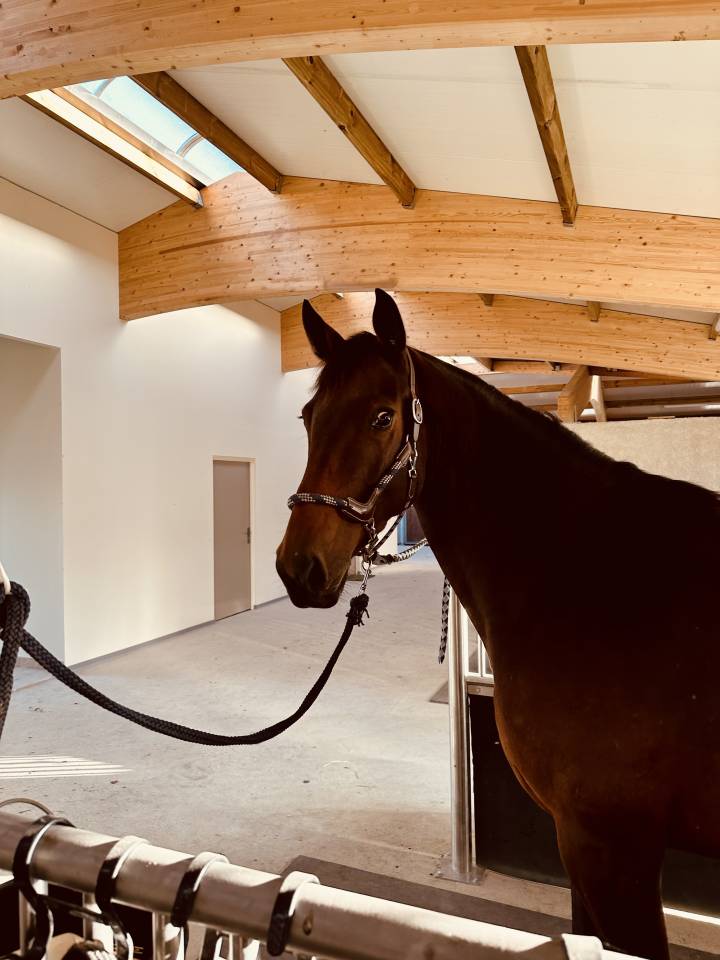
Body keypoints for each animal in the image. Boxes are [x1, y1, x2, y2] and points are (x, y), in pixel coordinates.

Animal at [276, 288, 720, 960]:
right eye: (307, 417)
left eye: (382, 417)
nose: (298, 567)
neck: (594, 576)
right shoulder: (581, 846)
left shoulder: (614, 849)